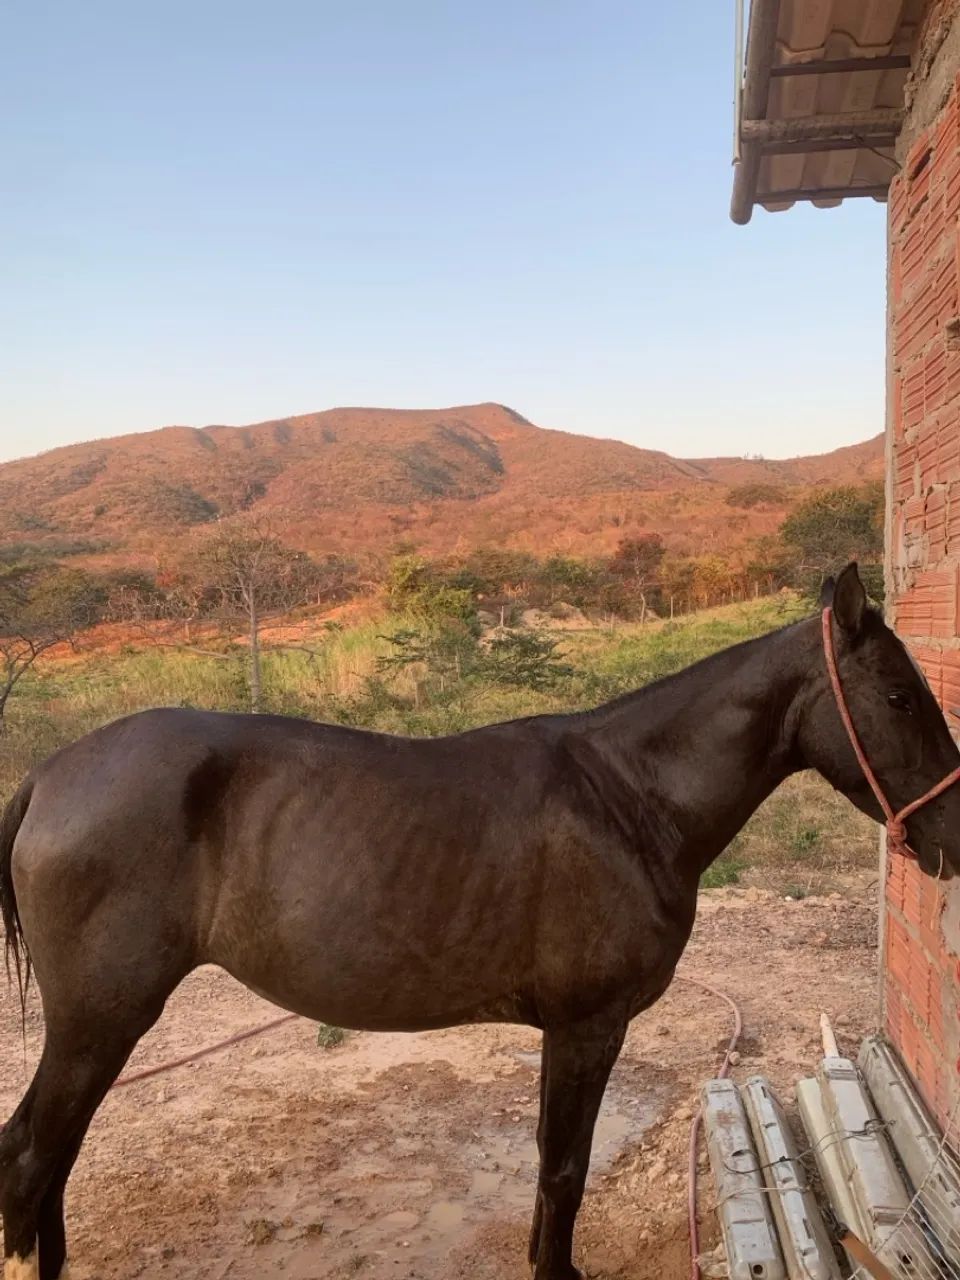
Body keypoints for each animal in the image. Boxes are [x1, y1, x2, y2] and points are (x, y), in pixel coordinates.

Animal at [2, 562, 960, 1280]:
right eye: (900, 697)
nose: (951, 833)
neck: (631, 797)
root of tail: (51, 773)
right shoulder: (587, 1026)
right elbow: (565, 1168)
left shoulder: (568, 1032)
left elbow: (550, 1165)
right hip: (99, 1020)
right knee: (32, 1159)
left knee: (47, 1159)